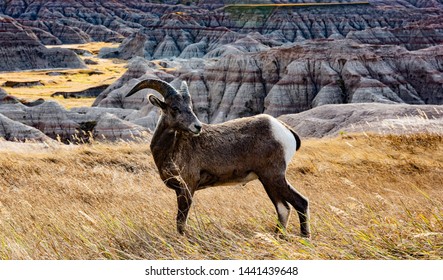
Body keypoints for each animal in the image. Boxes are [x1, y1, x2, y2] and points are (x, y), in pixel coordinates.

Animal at [126, 80, 310, 237]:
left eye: (189, 106)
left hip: (273, 177)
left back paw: (305, 238)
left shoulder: (187, 187)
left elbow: (181, 222)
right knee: (283, 208)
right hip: (269, 181)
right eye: (175, 107)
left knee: (300, 203)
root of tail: (284, 130)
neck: (170, 150)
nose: (197, 127)